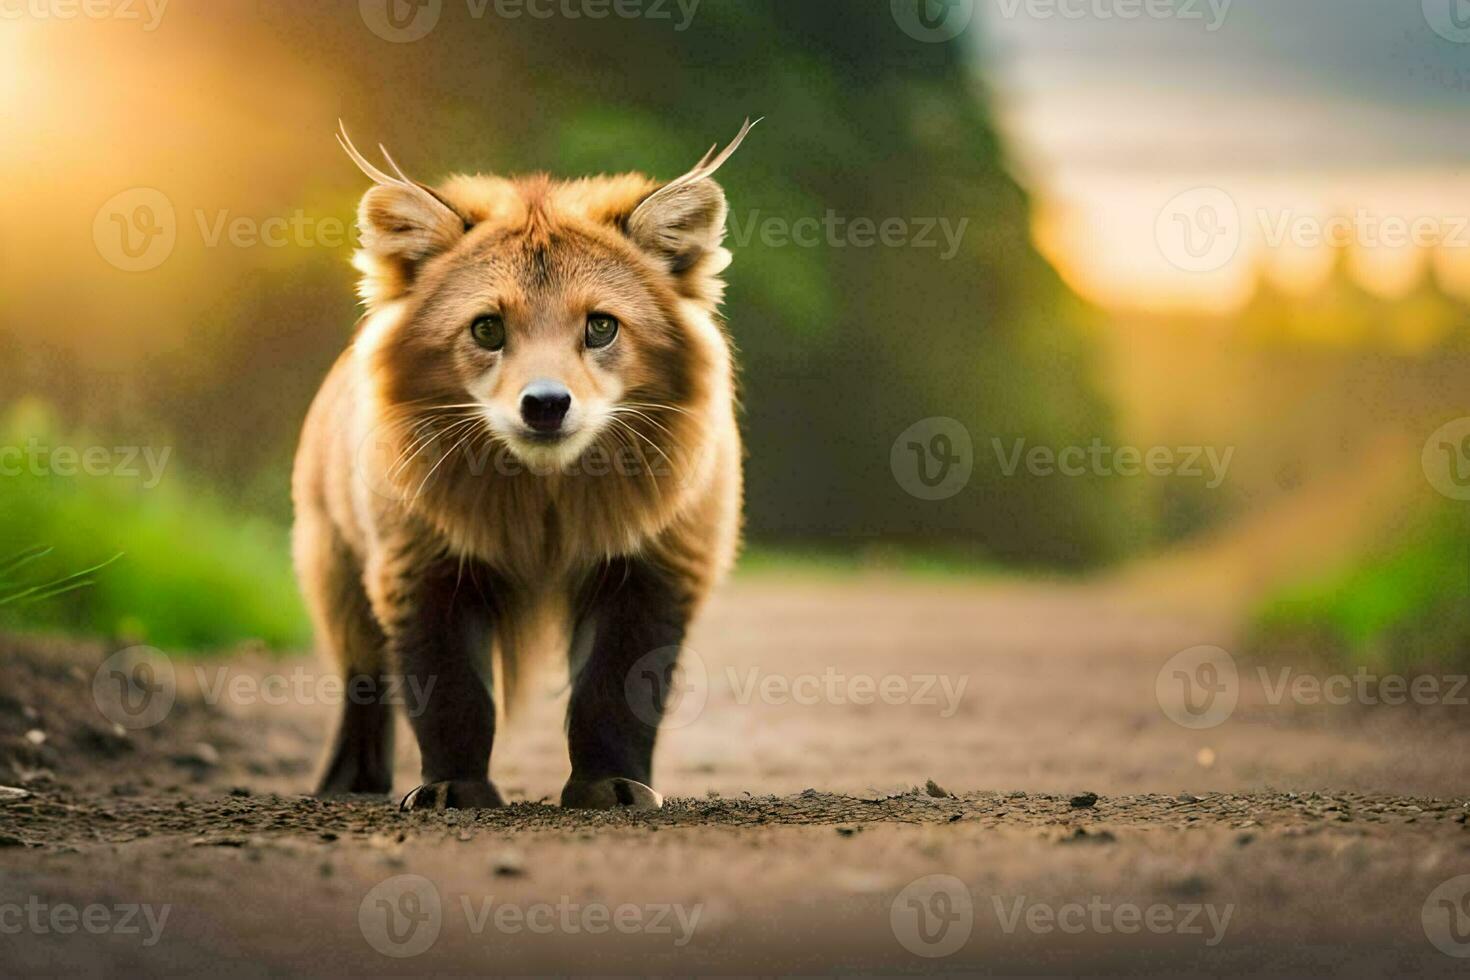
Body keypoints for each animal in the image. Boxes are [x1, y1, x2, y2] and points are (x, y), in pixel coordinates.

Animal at [286, 120, 752, 811]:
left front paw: (611, 786)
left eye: (601, 326)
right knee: (362, 683)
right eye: (486, 329)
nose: (546, 404)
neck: (544, 509)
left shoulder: (657, 568)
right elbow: (451, 696)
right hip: (334, 567)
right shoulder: (419, 566)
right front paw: (453, 789)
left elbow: (614, 694)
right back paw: (349, 781)